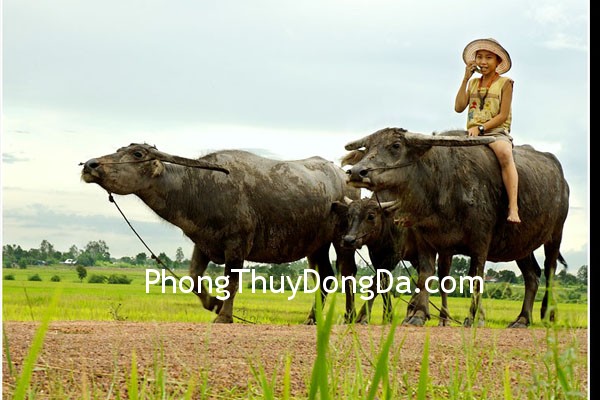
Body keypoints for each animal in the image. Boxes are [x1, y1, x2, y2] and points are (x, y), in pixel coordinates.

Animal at [82, 142, 360, 324]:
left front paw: (224, 316)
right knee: (325, 278)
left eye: (137, 153)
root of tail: (344, 178)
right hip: (316, 245)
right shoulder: (203, 243)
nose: (90, 165)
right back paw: (313, 318)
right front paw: (214, 304)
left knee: (347, 273)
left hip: (342, 240)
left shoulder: (237, 245)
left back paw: (350, 316)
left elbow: (231, 282)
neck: (199, 188)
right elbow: (194, 278)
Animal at [342, 129, 568, 328]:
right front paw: (418, 315)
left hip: (555, 235)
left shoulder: (479, 243)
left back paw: (548, 315)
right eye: (367, 147)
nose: (356, 172)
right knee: (532, 276)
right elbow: (425, 277)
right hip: (521, 245)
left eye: (396, 145)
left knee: (549, 270)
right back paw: (522, 319)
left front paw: (471, 319)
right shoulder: (427, 243)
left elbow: (475, 279)